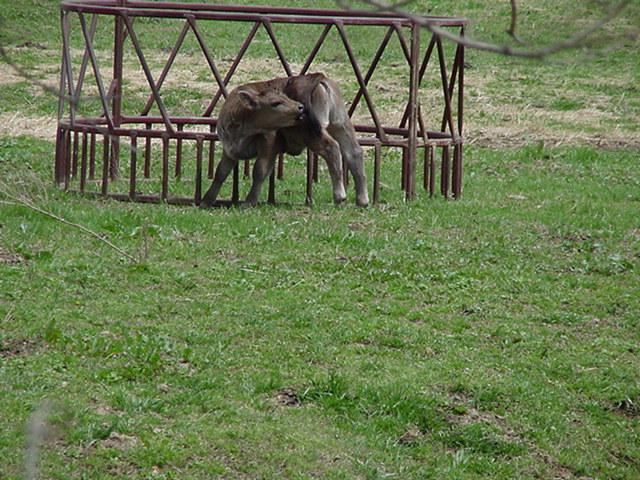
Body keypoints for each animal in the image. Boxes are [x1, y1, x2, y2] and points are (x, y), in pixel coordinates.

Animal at [200, 72, 370, 207]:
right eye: (276, 102)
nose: (300, 107)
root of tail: (316, 77)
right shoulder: (229, 149)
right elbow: (221, 172)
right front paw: (206, 200)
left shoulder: (268, 143)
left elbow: (259, 171)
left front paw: (249, 201)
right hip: (341, 124)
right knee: (354, 152)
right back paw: (362, 200)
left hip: (312, 133)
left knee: (332, 148)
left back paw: (340, 195)